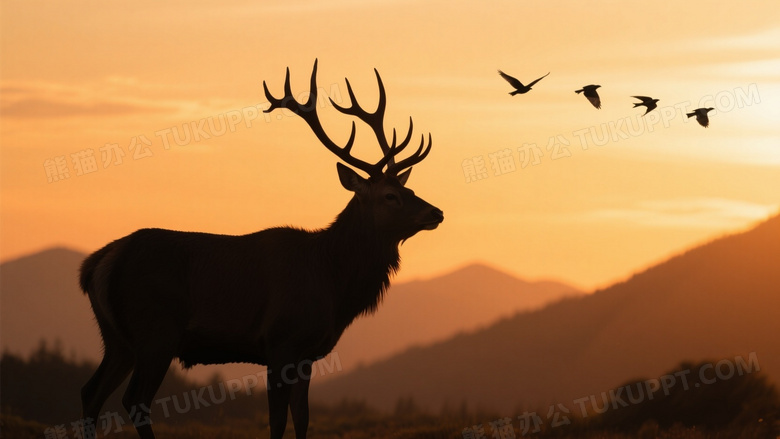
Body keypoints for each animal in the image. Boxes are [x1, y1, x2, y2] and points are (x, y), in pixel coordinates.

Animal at [78, 59, 443, 439]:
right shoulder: (280, 341)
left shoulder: (306, 354)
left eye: (410, 188)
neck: (332, 282)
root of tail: (96, 266)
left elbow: (302, 418)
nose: (437, 213)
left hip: (118, 339)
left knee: (91, 392)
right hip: (155, 330)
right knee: (135, 399)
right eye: (390, 196)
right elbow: (278, 421)